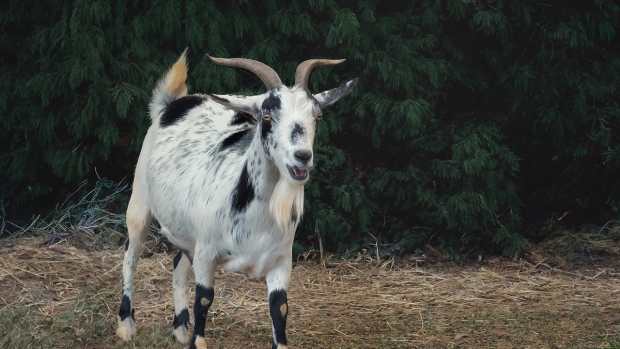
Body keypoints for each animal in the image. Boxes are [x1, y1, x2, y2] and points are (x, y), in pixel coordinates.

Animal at [117, 49, 358, 348]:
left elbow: (279, 308)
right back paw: (126, 326)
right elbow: (204, 299)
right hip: (139, 202)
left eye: (318, 116)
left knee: (178, 266)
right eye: (266, 116)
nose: (302, 157)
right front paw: (196, 339)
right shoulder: (207, 253)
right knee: (130, 258)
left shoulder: (281, 262)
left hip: (187, 233)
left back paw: (181, 328)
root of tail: (171, 104)